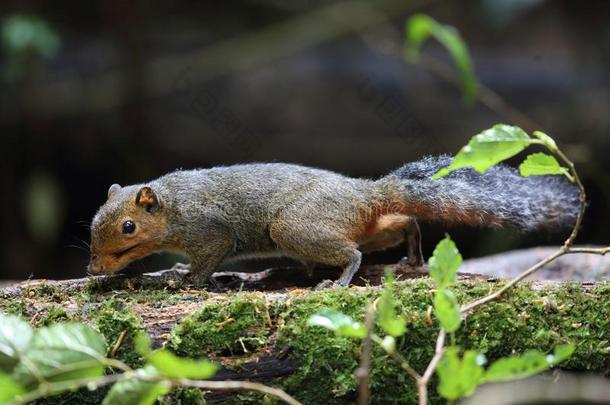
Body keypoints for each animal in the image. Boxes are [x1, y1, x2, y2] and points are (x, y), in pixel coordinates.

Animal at [85, 155, 576, 288]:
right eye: (93, 224)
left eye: (128, 228)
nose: (93, 268)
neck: (174, 206)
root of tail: (364, 194)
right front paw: (175, 268)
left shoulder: (210, 231)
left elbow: (209, 261)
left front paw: (184, 278)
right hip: (363, 225)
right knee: (403, 224)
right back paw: (412, 258)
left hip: (295, 228)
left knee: (354, 251)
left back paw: (338, 280)